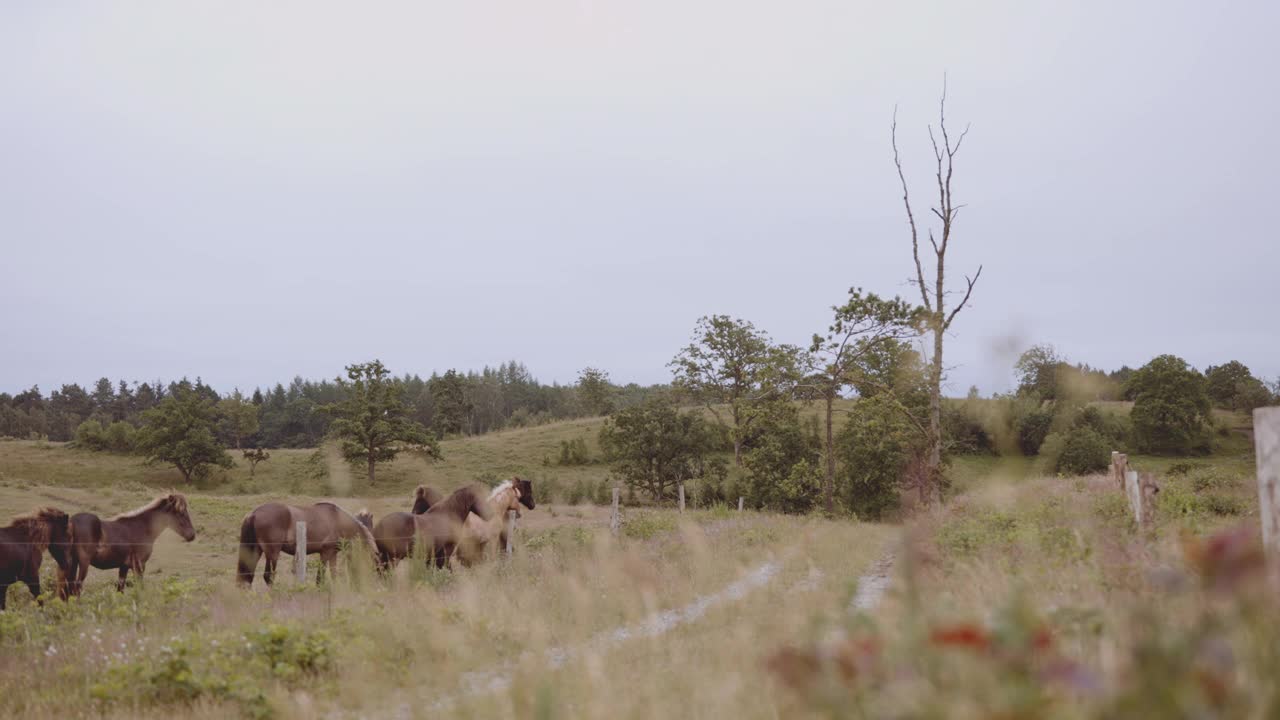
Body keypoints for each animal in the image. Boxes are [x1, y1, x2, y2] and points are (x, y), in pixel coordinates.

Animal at [58, 489, 197, 591]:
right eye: (180, 513)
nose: (192, 535)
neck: (141, 528)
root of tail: (71, 523)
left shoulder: (123, 567)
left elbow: (120, 589)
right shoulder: (139, 566)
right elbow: (140, 589)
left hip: (73, 563)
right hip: (83, 564)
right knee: (76, 587)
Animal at [235, 499, 376, 584]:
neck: (337, 520)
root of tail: (253, 514)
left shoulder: (333, 554)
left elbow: (333, 574)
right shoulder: (325, 553)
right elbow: (320, 577)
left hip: (255, 551)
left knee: (248, 575)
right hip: (272, 553)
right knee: (268, 576)